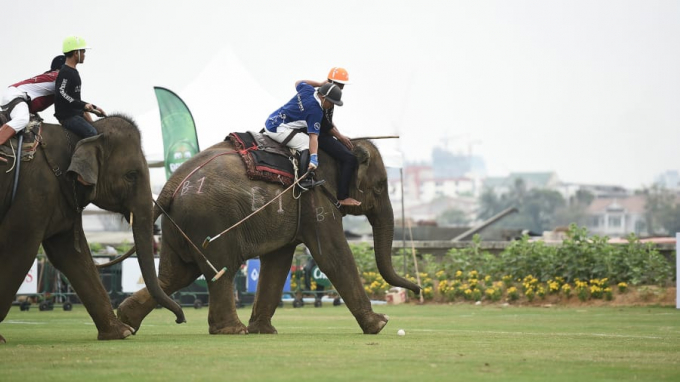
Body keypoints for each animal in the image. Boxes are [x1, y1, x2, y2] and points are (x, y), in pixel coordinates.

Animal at [0, 115, 183, 344]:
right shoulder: (34, 192)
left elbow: (72, 256)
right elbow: (19, 250)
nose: (180, 319)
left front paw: (120, 332)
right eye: (131, 175)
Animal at [118, 137, 420, 334]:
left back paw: (126, 321)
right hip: (209, 220)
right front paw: (380, 324)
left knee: (176, 275)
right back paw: (232, 330)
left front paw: (264, 330)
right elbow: (333, 256)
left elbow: (278, 262)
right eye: (380, 186)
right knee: (220, 271)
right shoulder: (315, 199)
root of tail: (169, 185)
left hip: (179, 226)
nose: (417, 290)